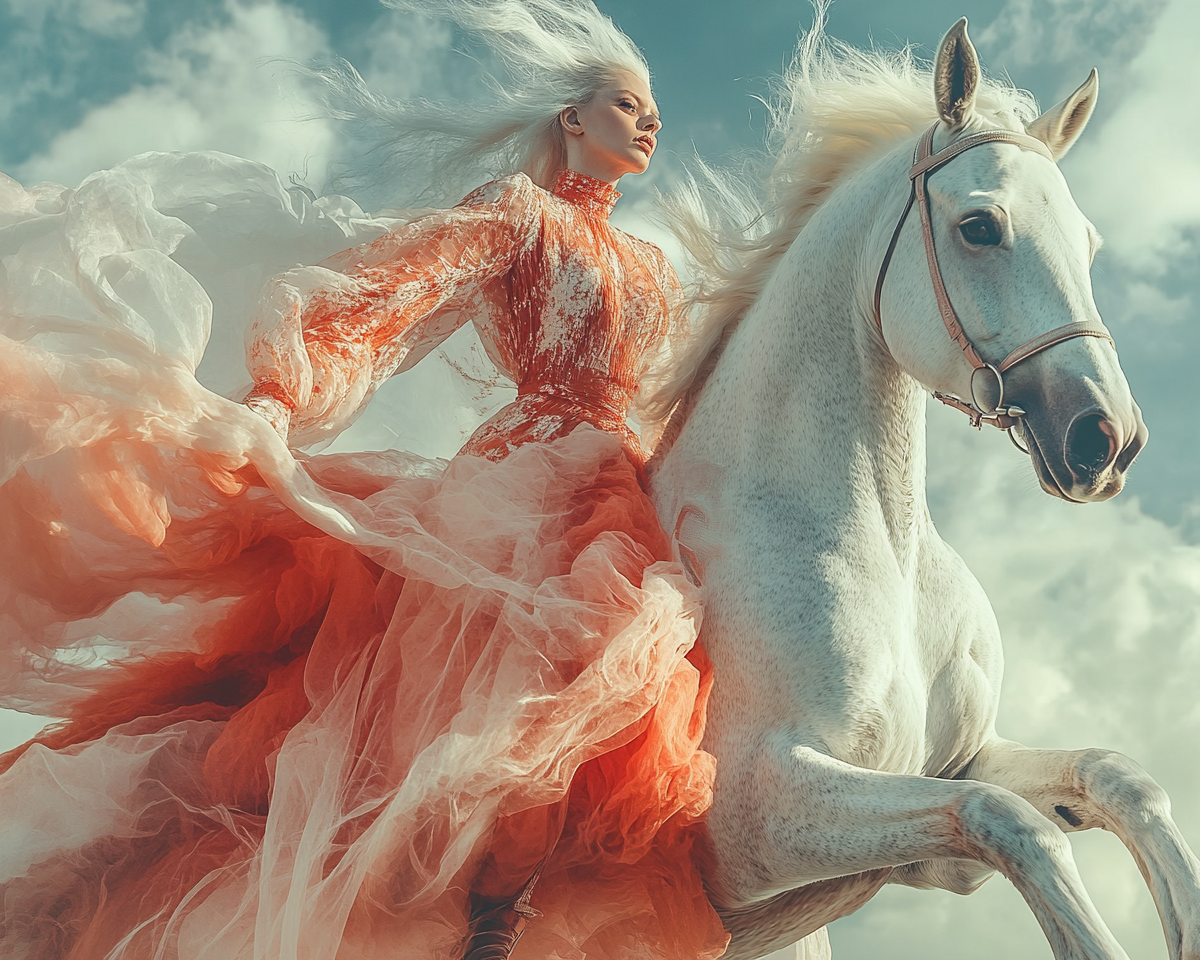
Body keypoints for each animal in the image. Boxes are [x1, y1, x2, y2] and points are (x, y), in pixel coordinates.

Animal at [652, 16, 1195, 960]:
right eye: (980, 227)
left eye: (1089, 244)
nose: (1107, 439)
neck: (883, 558)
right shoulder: (750, 819)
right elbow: (1012, 822)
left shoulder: (951, 779)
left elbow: (1116, 780)